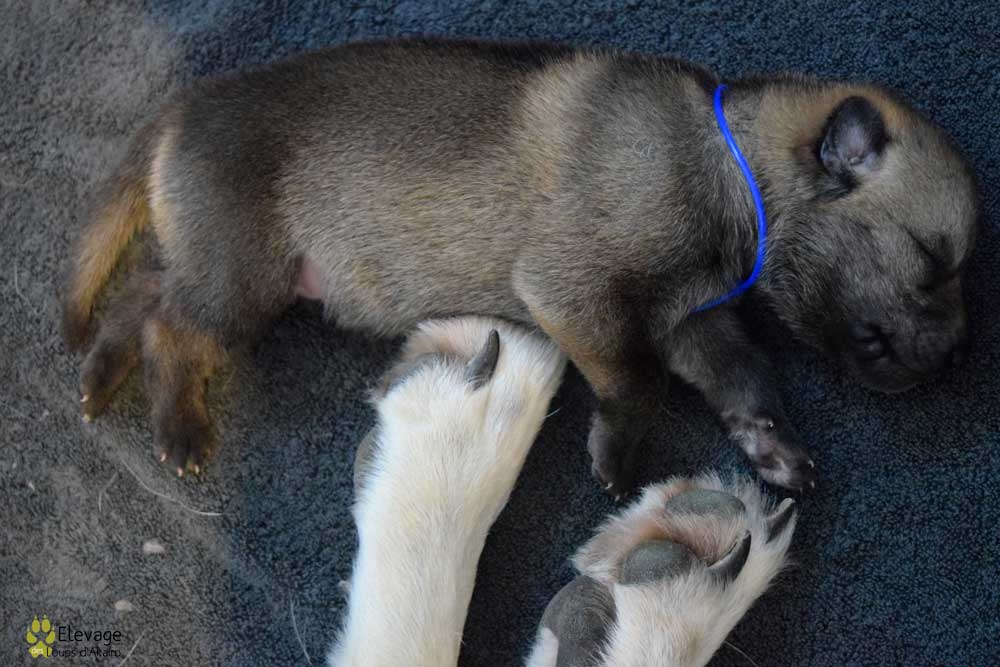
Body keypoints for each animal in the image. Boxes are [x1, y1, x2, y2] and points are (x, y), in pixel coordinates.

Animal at [62, 38, 980, 495]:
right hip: (241, 278)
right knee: (169, 328)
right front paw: (617, 451)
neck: (727, 158)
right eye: (934, 261)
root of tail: (181, 108)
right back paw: (179, 423)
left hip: (211, 259)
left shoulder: (693, 321)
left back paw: (100, 376)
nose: (956, 357)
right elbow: (638, 380)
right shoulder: (575, 294)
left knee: (140, 294)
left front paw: (774, 447)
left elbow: (746, 379)